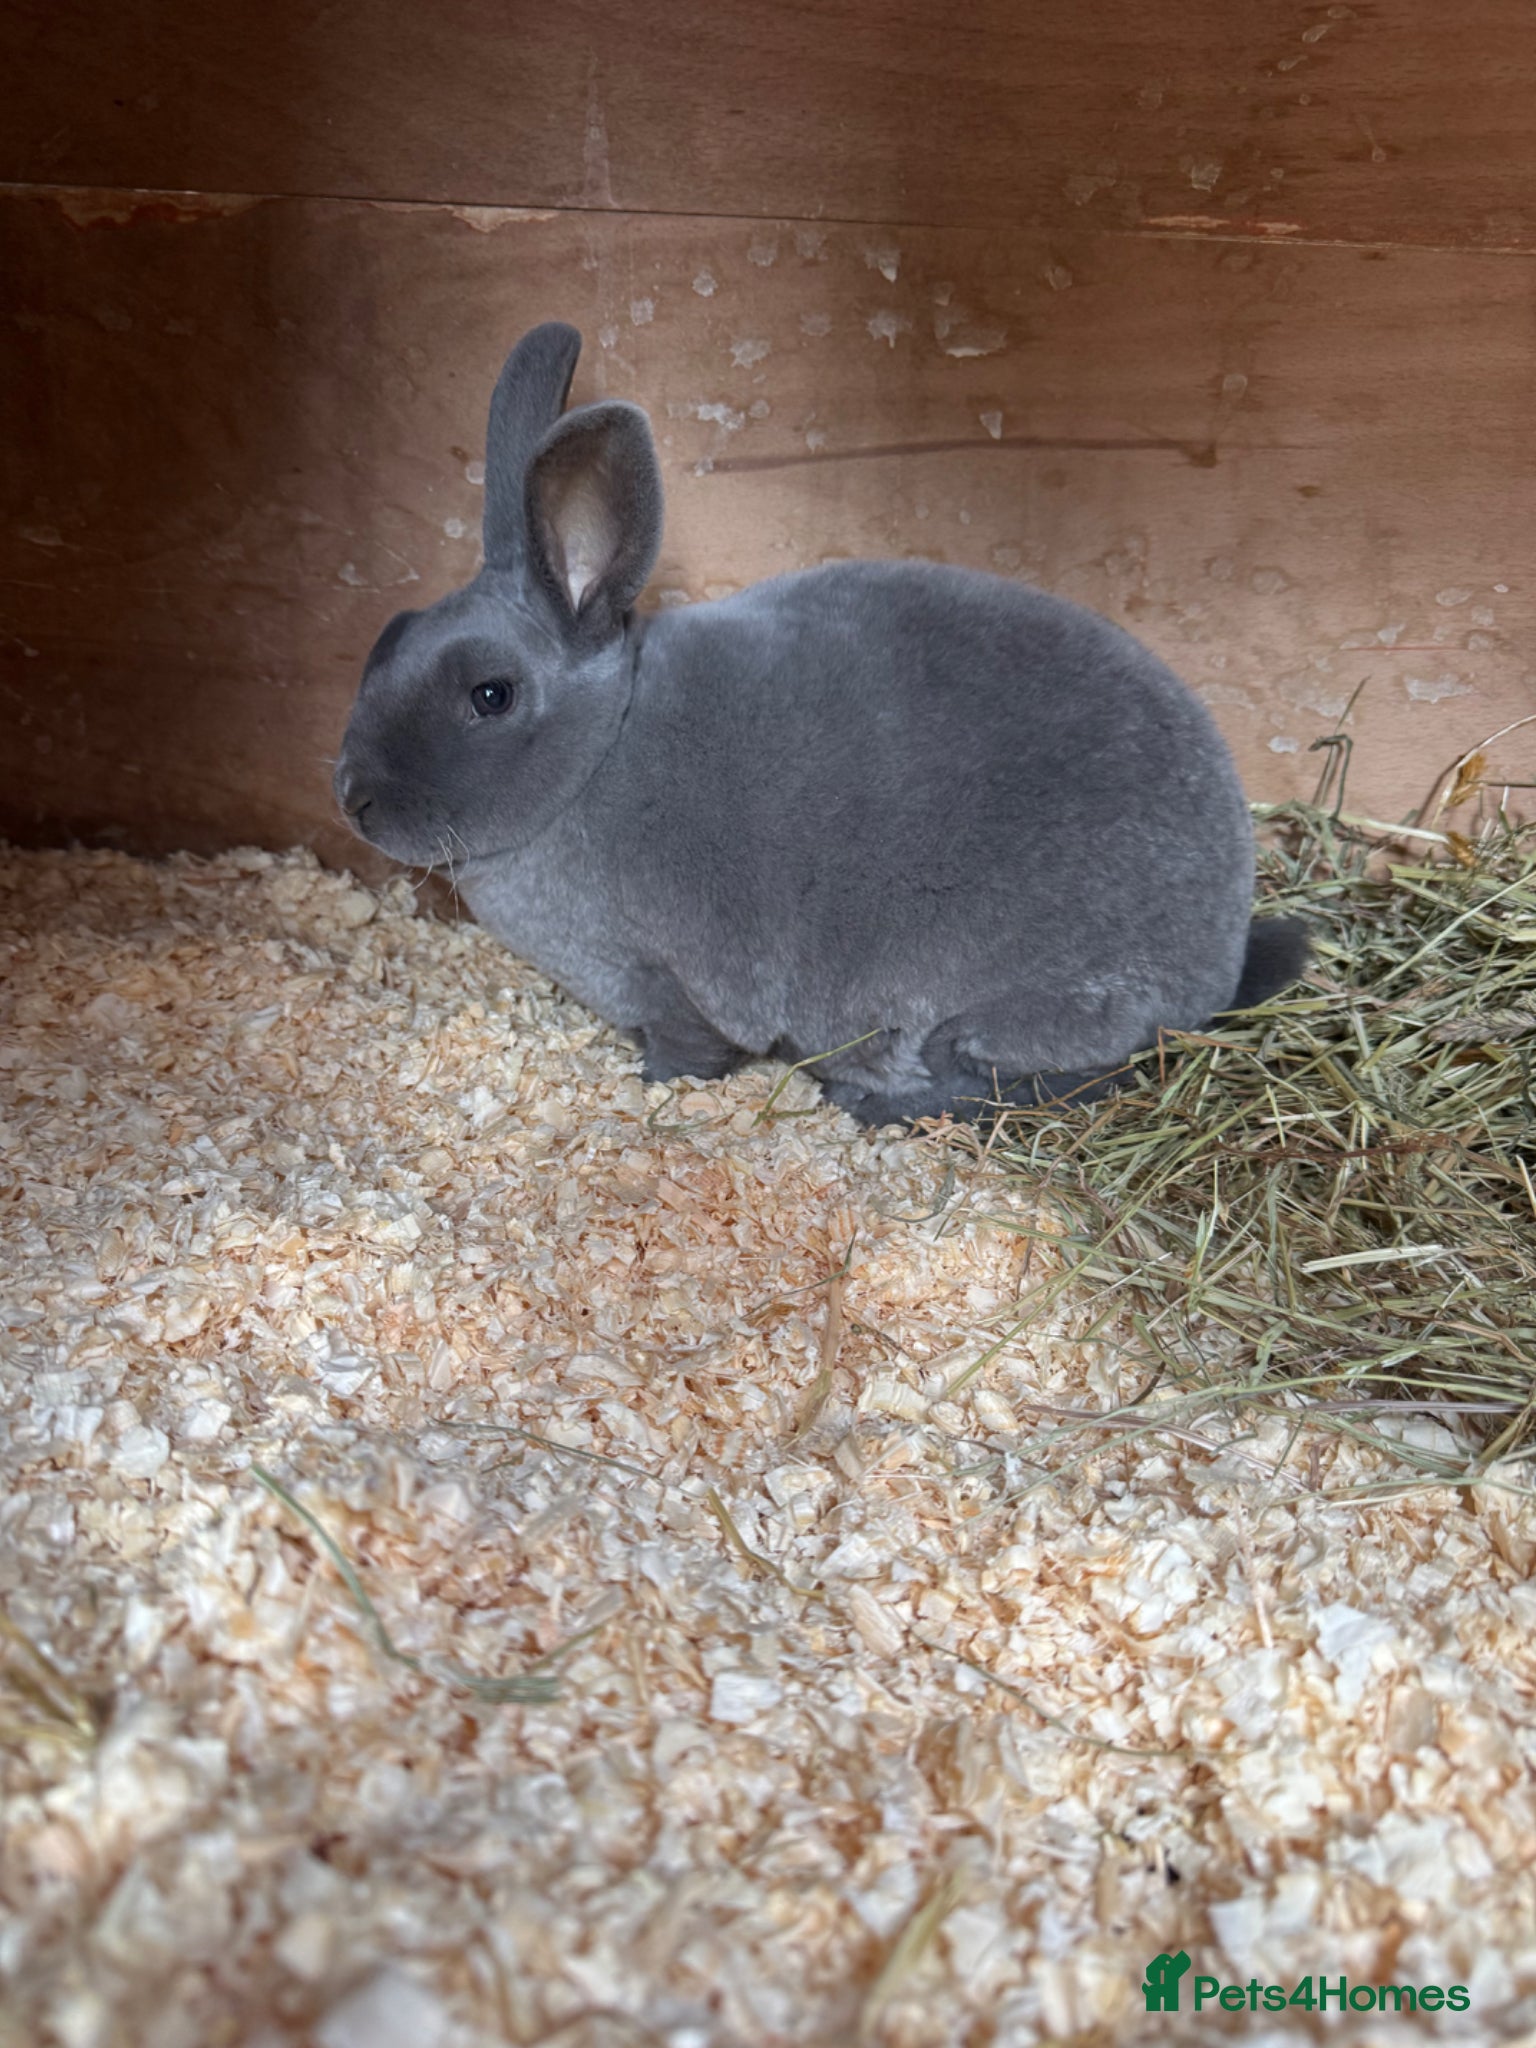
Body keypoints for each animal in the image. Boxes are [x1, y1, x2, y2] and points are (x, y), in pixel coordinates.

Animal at [334, 321, 1309, 1127]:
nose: (352, 797)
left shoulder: (674, 980)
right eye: (390, 634)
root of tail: (1220, 957)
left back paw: (871, 1102)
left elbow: (692, 1047)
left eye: (490, 695)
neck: (602, 753)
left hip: (1009, 1010)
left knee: (1060, 1079)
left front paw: (654, 1089)